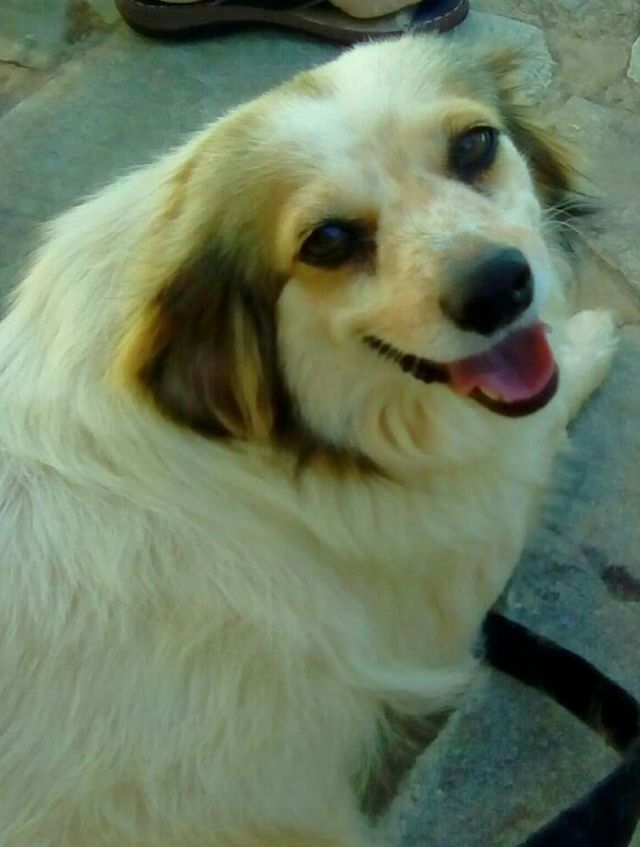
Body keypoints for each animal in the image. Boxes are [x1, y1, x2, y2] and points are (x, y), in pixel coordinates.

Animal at [0, 35, 616, 847]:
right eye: (327, 241)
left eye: (476, 145)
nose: (499, 288)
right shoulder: (454, 573)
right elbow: (538, 431)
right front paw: (593, 341)